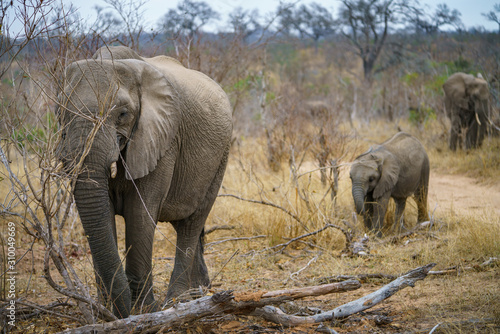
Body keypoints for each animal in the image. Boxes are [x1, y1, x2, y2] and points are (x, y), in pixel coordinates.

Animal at [57, 45, 233, 318]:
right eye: (60, 113)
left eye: (123, 114)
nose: (122, 312)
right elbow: (102, 216)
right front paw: (106, 312)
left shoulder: (163, 140)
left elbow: (139, 214)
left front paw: (143, 311)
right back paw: (199, 292)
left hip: (221, 155)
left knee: (192, 222)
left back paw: (178, 300)